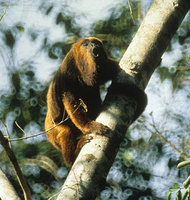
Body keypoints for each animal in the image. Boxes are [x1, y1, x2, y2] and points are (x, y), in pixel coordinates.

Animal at [44, 36, 147, 166]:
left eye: (95, 42)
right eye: (86, 44)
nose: (94, 46)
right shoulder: (66, 76)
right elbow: (71, 103)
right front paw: (89, 126)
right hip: (53, 130)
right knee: (65, 131)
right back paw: (72, 158)